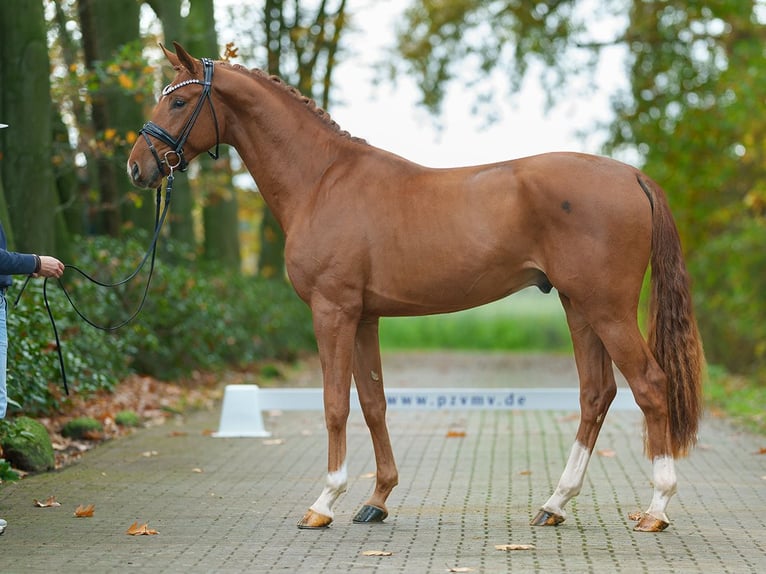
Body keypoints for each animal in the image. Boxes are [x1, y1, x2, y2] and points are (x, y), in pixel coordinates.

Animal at [129, 45, 704, 536]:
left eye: (179, 99)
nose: (138, 166)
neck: (321, 179)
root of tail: (632, 175)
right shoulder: (364, 316)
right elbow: (373, 402)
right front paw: (376, 500)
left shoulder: (332, 311)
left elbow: (334, 403)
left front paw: (324, 502)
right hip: (578, 306)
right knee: (596, 394)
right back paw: (554, 504)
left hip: (607, 309)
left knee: (650, 385)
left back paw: (656, 509)